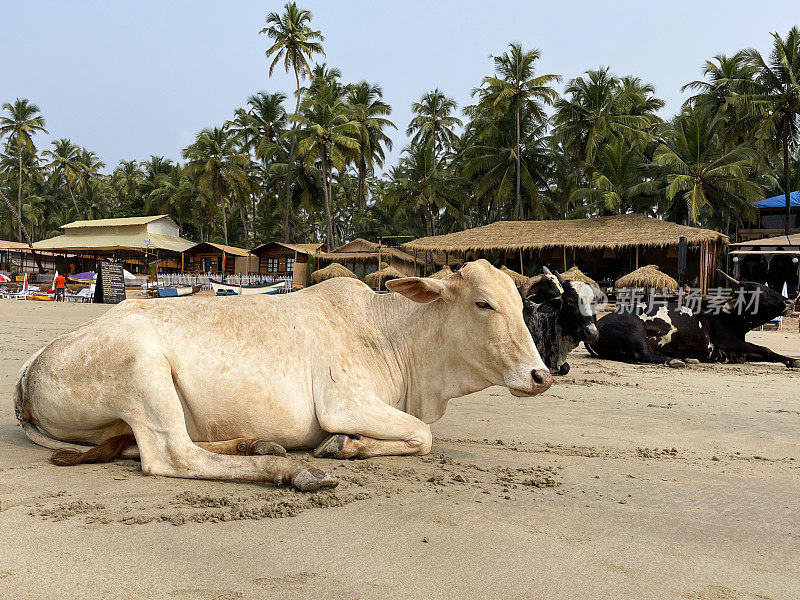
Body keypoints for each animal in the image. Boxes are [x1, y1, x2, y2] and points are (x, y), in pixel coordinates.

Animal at [15, 260, 552, 490]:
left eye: (522, 303)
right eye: (484, 304)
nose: (542, 375)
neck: (390, 333)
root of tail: (30, 367)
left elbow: (419, 435)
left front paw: (348, 446)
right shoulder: (344, 403)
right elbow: (422, 434)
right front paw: (343, 446)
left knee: (141, 444)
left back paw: (254, 444)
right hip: (143, 368)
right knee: (173, 456)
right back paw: (288, 468)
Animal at [584, 270, 796, 368]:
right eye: (759, 291)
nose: (789, 301)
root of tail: (597, 324)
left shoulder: (739, 353)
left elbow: (768, 353)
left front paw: (792, 360)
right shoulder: (729, 342)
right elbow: (764, 348)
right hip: (635, 330)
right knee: (642, 354)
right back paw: (676, 360)